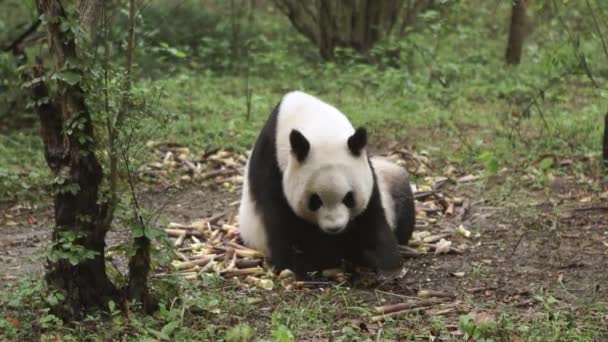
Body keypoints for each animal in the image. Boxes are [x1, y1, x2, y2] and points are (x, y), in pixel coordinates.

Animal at [236, 91, 414, 278]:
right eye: (315, 201)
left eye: (349, 198)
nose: (335, 228)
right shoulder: (273, 171)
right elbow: (285, 226)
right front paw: (305, 265)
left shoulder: (367, 171)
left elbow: (371, 216)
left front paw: (386, 262)